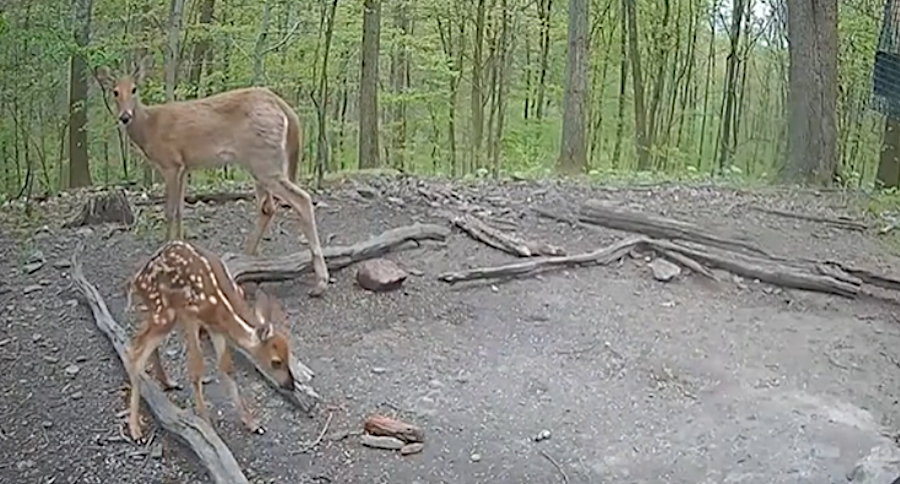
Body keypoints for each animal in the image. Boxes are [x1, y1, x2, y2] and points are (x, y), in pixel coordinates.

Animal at [96, 59, 328, 296]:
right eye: (115, 91)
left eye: (134, 89)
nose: (125, 116)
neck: (149, 127)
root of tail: (285, 108)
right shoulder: (184, 168)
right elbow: (180, 211)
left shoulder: (170, 164)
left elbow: (169, 212)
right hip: (258, 161)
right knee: (267, 207)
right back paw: (246, 259)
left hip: (264, 159)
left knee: (301, 199)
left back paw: (320, 281)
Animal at [124, 239, 296, 442]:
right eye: (276, 361)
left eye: (289, 355)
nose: (290, 385)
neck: (222, 307)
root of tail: (137, 280)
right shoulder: (191, 314)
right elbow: (197, 367)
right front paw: (206, 421)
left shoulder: (215, 328)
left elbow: (226, 367)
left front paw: (252, 423)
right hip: (164, 312)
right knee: (136, 354)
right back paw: (135, 429)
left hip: (162, 315)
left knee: (141, 341)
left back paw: (168, 382)